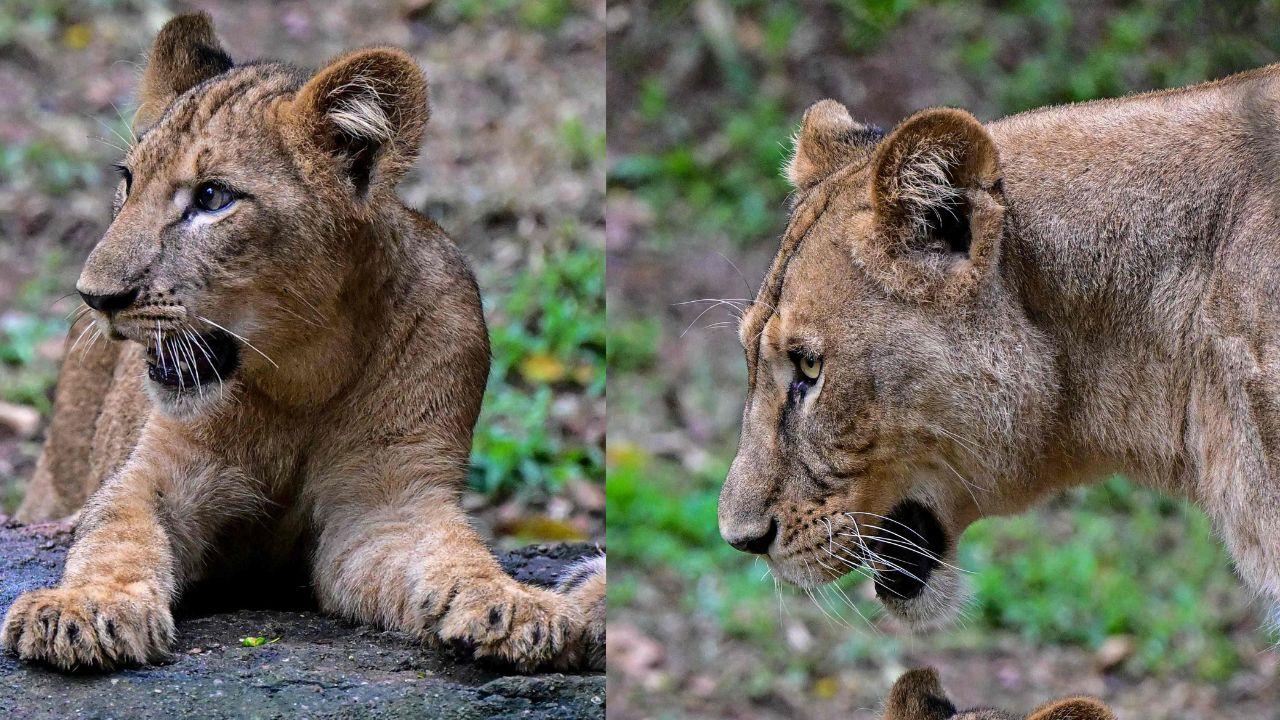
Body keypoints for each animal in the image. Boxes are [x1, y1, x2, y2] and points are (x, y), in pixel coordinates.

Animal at [2, 12, 603, 673]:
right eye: (128, 181)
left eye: (211, 197)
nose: (95, 297)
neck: (301, 374)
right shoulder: (157, 472)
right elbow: (115, 536)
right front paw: (81, 609)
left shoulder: (387, 504)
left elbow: (452, 555)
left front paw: (516, 607)